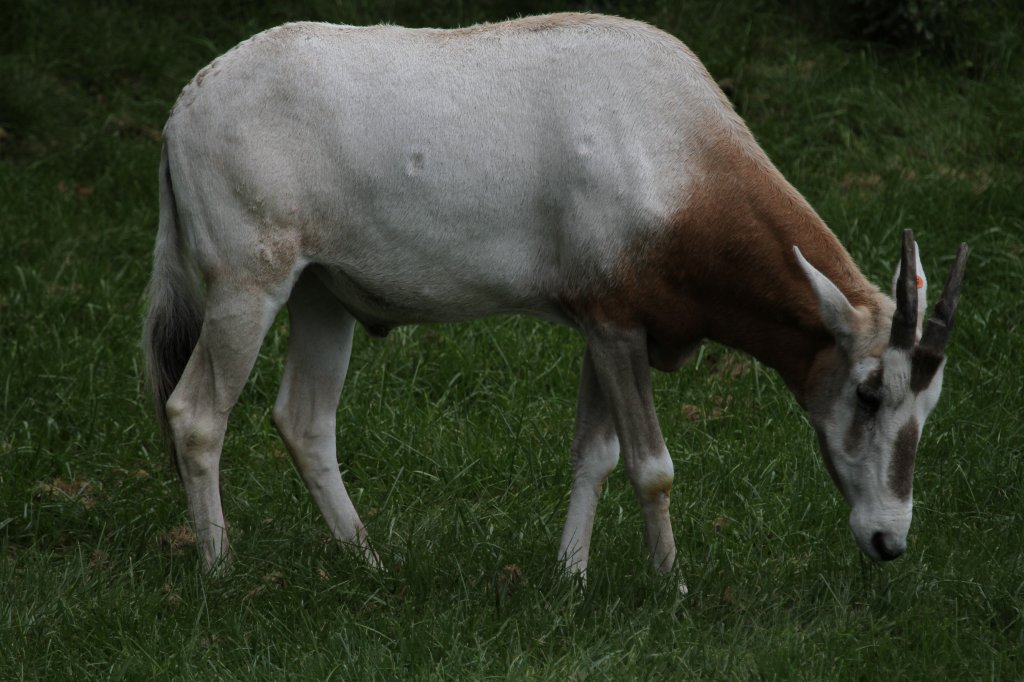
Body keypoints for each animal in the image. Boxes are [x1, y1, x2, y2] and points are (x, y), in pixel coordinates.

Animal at [144, 13, 966, 573]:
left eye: (928, 404)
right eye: (868, 393)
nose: (888, 539)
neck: (677, 151)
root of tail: (183, 108)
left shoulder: (607, 323)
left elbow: (594, 454)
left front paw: (569, 579)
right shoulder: (616, 329)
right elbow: (651, 465)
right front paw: (670, 587)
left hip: (319, 296)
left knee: (305, 420)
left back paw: (367, 563)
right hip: (247, 288)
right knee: (196, 414)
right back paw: (219, 568)